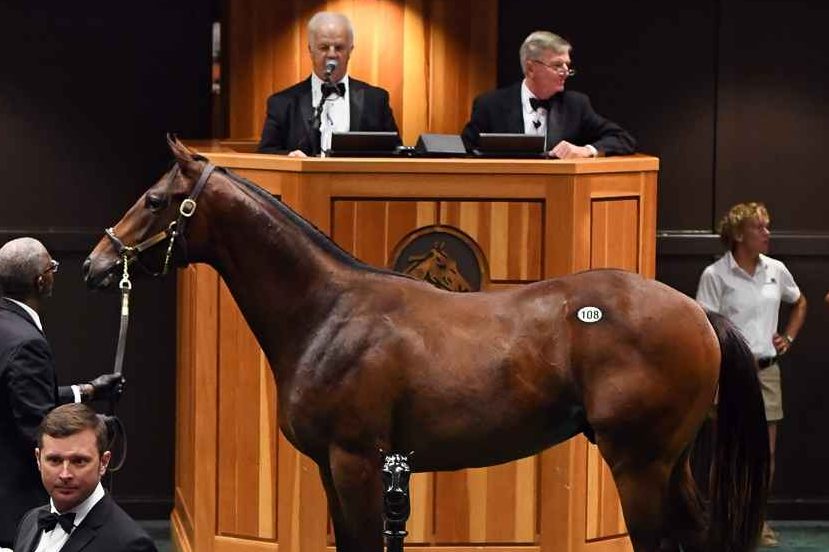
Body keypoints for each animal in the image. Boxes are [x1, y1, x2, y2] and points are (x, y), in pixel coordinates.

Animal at [83, 138, 769, 552]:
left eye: (154, 199)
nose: (96, 264)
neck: (328, 314)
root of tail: (698, 312)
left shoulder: (356, 462)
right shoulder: (336, 470)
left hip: (639, 466)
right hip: (668, 465)